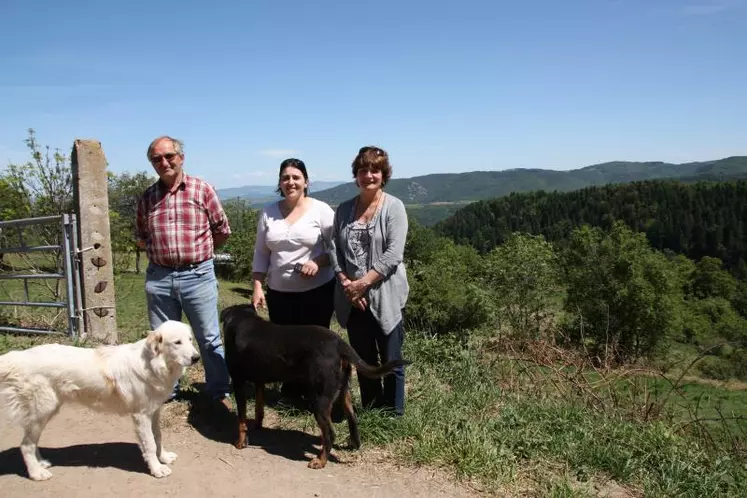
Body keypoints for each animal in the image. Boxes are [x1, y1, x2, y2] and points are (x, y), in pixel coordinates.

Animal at [0, 320, 200, 480]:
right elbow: (149, 443)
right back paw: (36, 473)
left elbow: (158, 436)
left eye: (190, 339)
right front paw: (157, 469)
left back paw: (41, 463)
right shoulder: (141, 415)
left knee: (31, 442)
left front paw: (164, 457)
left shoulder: (154, 411)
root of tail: (18, 356)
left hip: (45, 412)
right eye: (177, 342)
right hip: (43, 410)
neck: (153, 364)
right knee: (25, 445)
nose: (197, 357)